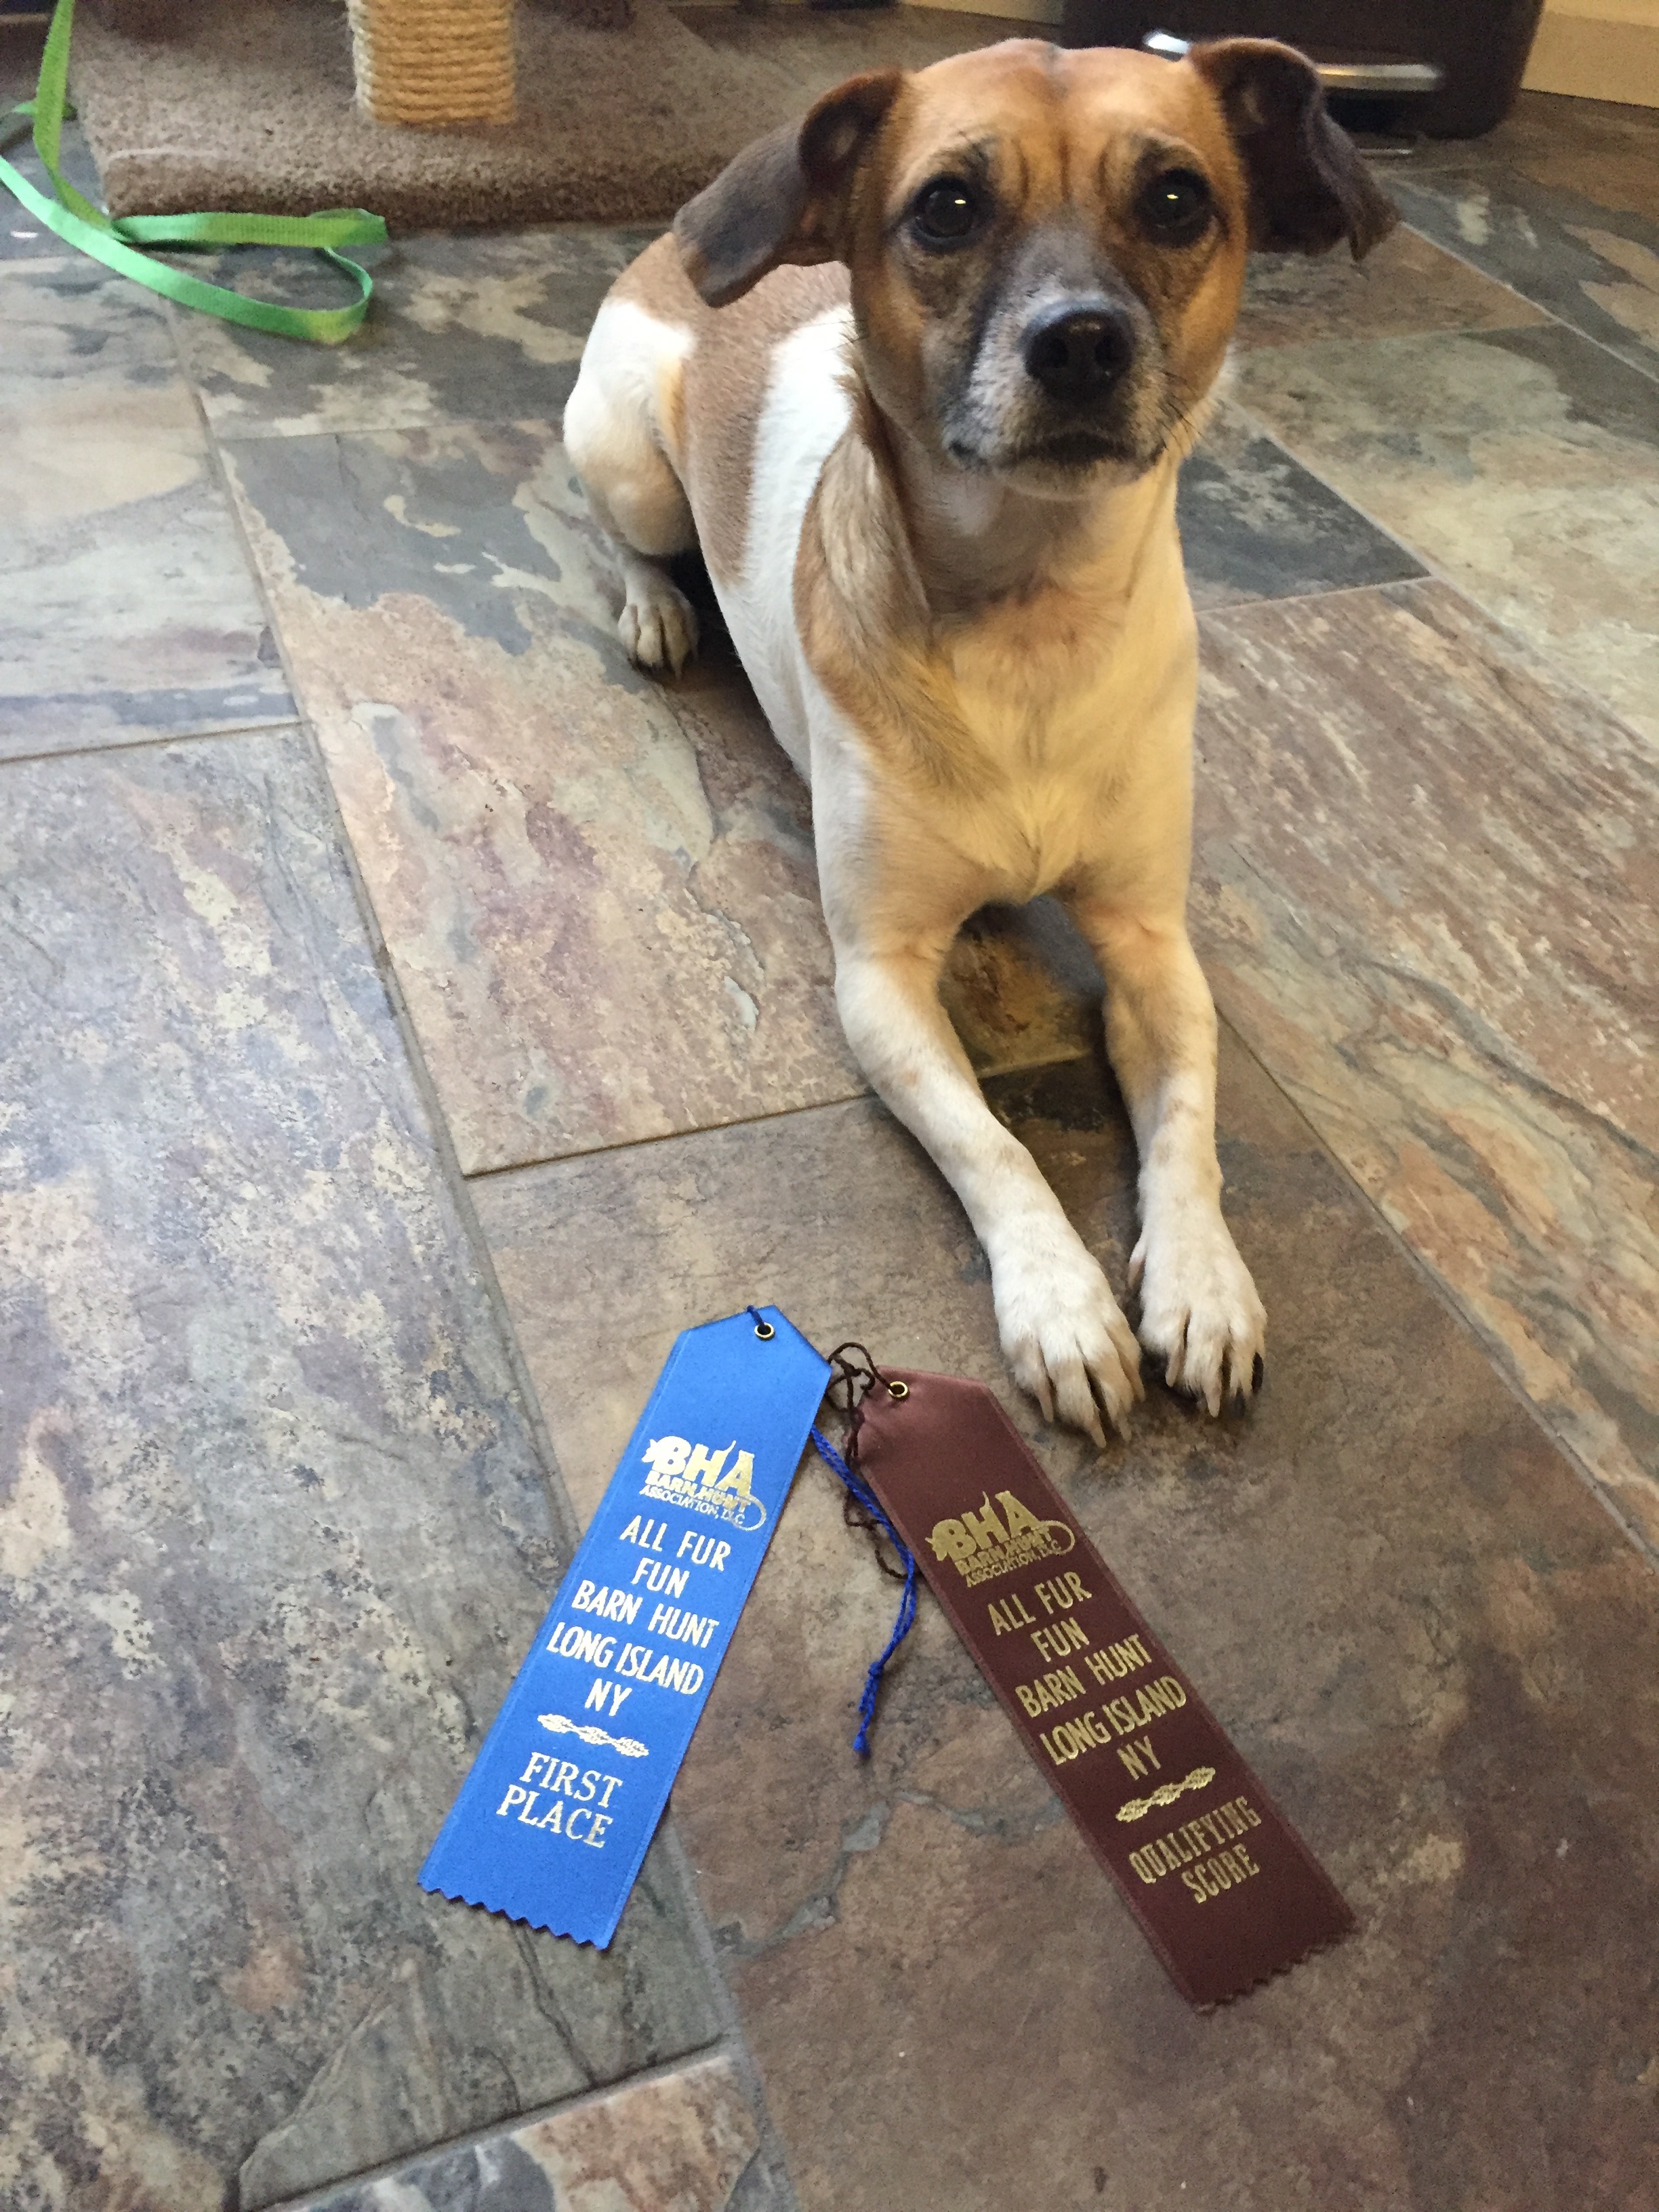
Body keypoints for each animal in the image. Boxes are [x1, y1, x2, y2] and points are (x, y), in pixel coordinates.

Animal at [564, 38, 1394, 1443]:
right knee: (619, 534)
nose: (1080, 341)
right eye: (946, 207)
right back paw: (658, 607)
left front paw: (1202, 1280)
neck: (1030, 615)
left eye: (1177, 198)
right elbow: (989, 1142)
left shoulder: (1153, 947)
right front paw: (1060, 1303)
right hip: (627, 462)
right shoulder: (880, 975)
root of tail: (671, 245)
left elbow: (1189, 1126)